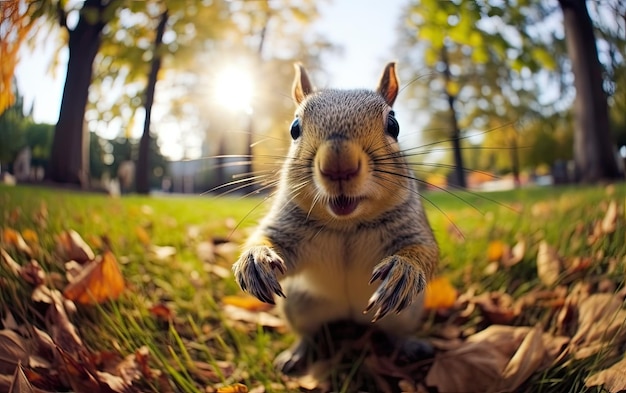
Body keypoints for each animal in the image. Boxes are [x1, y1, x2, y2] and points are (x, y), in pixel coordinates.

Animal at [230, 62, 438, 374]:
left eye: (394, 125)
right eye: (294, 128)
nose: (338, 165)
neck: (346, 225)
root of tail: (352, 315)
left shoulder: (413, 226)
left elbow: (425, 249)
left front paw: (405, 270)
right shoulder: (286, 228)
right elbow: (266, 238)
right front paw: (255, 259)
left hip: (408, 311)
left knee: (397, 332)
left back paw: (410, 344)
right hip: (298, 305)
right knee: (308, 332)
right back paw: (297, 353)